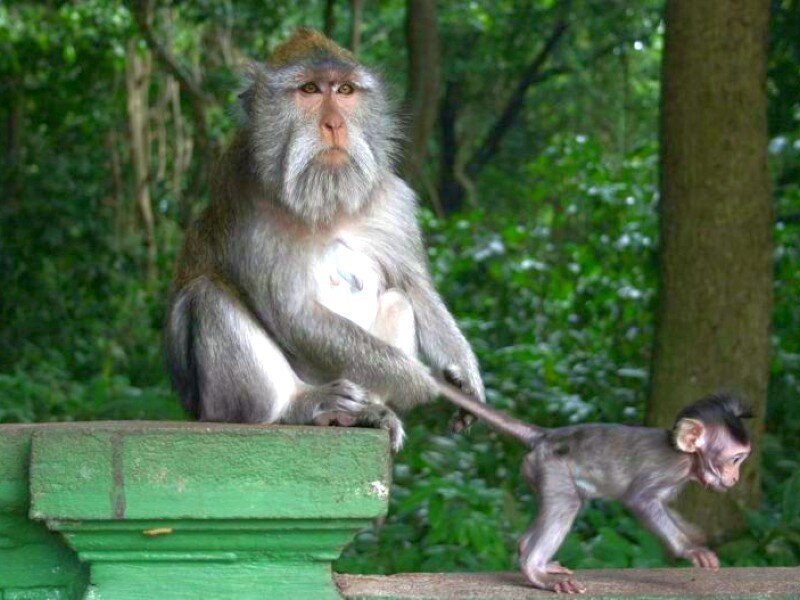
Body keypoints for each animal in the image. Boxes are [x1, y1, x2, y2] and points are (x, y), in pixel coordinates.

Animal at [164, 28, 484, 452]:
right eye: (310, 90)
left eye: (345, 90)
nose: (334, 125)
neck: (328, 203)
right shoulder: (246, 199)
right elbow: (294, 313)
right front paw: (420, 381)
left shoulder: (392, 200)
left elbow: (414, 288)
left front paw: (464, 373)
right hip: (219, 404)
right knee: (207, 296)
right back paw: (299, 408)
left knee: (398, 302)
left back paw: (366, 413)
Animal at [436, 384, 753, 594]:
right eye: (735, 459)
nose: (736, 477)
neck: (686, 458)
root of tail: (546, 436)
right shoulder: (669, 470)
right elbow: (641, 500)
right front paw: (690, 549)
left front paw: (693, 533)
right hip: (551, 466)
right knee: (567, 504)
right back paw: (534, 569)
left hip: (535, 468)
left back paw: (532, 554)